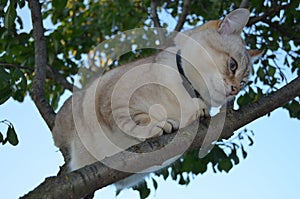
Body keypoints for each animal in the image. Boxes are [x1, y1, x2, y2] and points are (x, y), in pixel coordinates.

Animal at [52, 7, 264, 190]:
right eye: (233, 65)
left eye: (244, 83)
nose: (234, 90)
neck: (188, 90)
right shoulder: (113, 102)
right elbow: (135, 121)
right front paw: (159, 124)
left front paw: (198, 111)